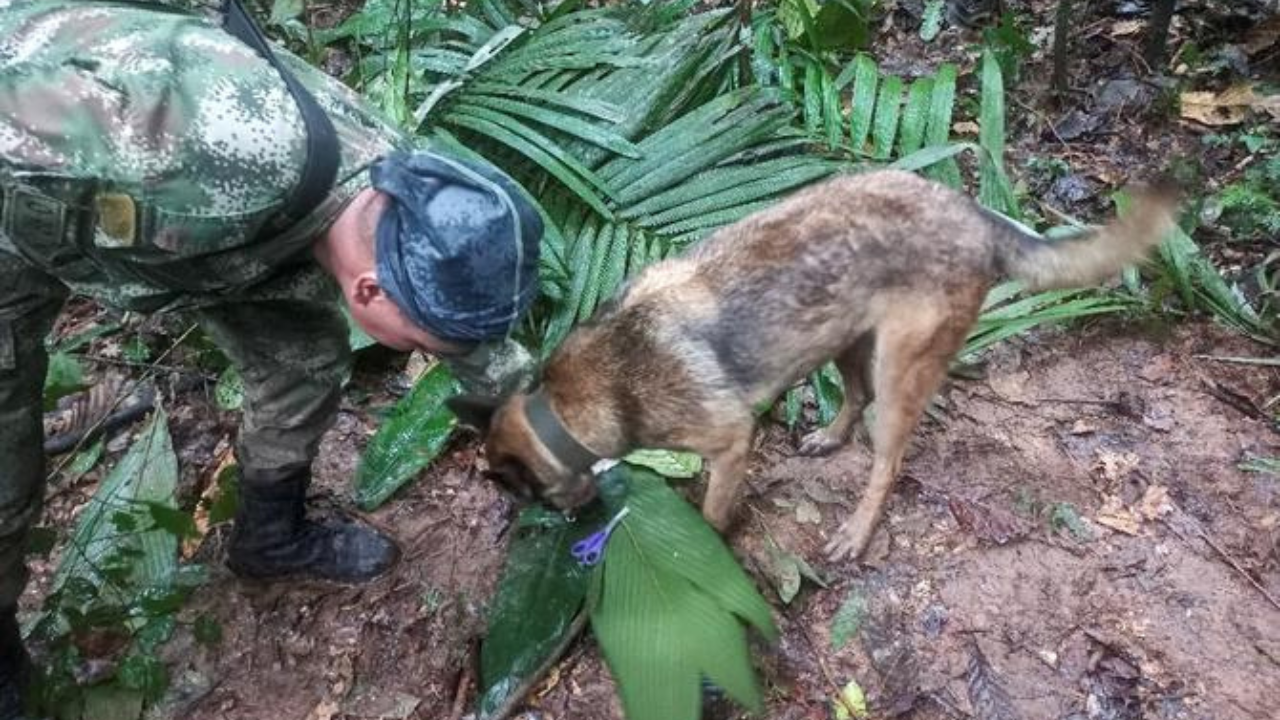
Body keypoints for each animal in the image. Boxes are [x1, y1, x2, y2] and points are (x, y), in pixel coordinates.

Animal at [453, 169, 1177, 561]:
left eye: (525, 496)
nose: (568, 525)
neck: (566, 406)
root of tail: (974, 214)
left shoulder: (730, 440)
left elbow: (712, 511)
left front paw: (710, 544)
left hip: (898, 369)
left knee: (887, 460)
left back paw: (856, 530)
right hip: (844, 340)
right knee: (853, 401)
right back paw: (829, 437)